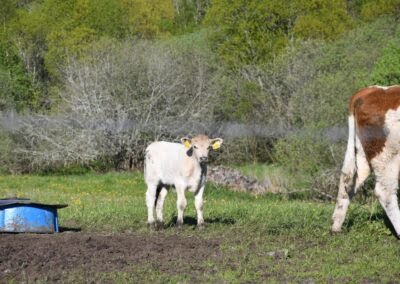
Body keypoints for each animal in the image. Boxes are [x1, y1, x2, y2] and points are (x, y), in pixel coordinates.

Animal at [332, 85, 400, 237]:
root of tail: (369, 90)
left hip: (362, 154)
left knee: (348, 180)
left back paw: (336, 226)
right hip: (388, 157)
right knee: (385, 191)